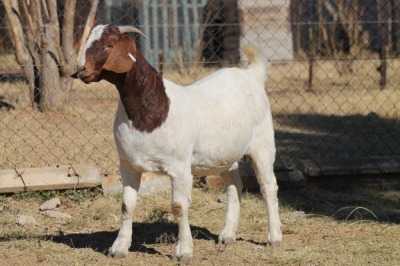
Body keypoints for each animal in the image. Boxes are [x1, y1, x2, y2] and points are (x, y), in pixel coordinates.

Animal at [72, 24, 284, 262]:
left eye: (109, 45)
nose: (81, 70)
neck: (150, 109)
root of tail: (251, 75)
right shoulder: (128, 166)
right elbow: (126, 205)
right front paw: (118, 248)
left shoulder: (179, 167)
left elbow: (178, 207)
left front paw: (184, 251)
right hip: (225, 154)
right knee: (233, 186)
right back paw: (228, 234)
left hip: (263, 145)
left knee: (268, 186)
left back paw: (274, 237)